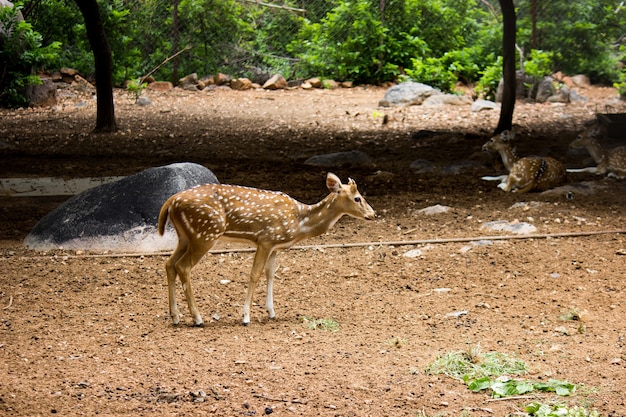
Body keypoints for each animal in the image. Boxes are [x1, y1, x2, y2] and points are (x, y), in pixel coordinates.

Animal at [158, 172, 376, 324]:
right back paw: (197, 318)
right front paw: (246, 316)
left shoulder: (275, 246)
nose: (373, 214)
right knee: (183, 267)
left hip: (185, 237)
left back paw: (175, 316)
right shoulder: (265, 239)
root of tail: (170, 202)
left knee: (169, 264)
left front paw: (271, 311)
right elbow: (255, 274)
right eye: (357, 198)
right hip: (205, 233)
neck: (299, 223)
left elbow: (270, 274)